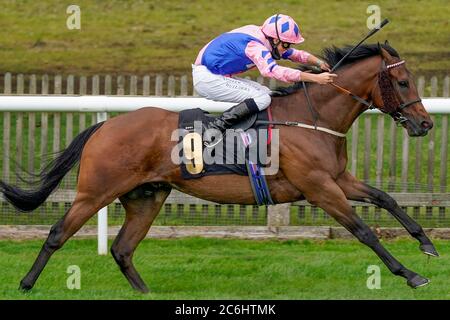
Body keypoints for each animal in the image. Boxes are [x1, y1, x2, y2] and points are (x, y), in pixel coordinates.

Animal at [0, 42, 436, 292]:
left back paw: (146, 293)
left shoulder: (338, 178)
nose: (425, 124)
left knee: (123, 249)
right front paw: (410, 274)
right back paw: (25, 283)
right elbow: (363, 231)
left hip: (146, 197)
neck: (311, 118)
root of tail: (106, 125)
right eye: (402, 82)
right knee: (58, 233)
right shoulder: (319, 187)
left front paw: (426, 244)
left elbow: (385, 198)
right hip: (96, 191)